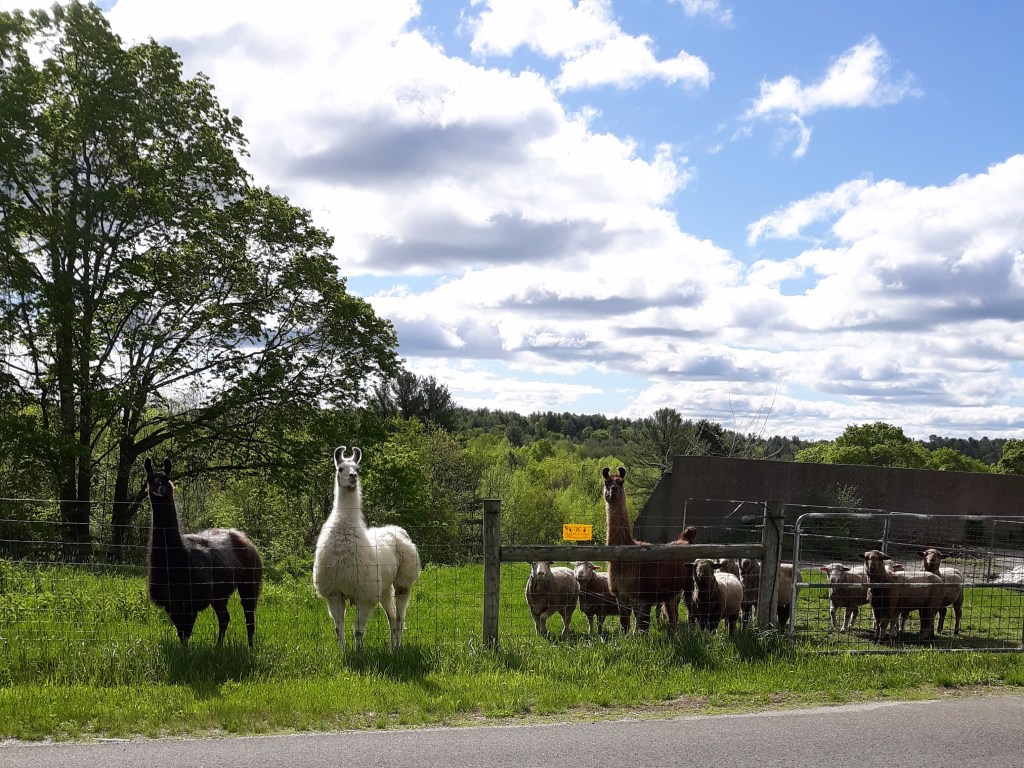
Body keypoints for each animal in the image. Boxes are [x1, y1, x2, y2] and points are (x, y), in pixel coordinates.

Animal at [143, 457, 263, 647]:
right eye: (149, 479)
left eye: (165, 477)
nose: (158, 487)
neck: (176, 558)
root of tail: (243, 537)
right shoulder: (170, 601)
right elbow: (181, 632)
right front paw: (183, 651)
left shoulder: (191, 600)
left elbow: (186, 631)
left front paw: (186, 652)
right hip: (219, 593)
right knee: (225, 618)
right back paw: (218, 647)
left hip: (250, 580)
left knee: (249, 616)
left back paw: (250, 647)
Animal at [313, 446, 421, 652]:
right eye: (340, 468)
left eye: (357, 468)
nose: (353, 477)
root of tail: (398, 530)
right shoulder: (334, 592)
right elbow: (338, 629)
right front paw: (342, 651)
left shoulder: (364, 593)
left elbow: (358, 631)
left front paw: (358, 653)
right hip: (384, 586)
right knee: (392, 617)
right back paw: (392, 648)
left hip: (403, 581)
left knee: (400, 617)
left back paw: (399, 647)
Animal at [603, 466, 698, 636]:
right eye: (606, 482)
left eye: (621, 482)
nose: (613, 490)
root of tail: (685, 540)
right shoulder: (621, 594)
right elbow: (624, 625)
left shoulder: (645, 594)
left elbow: (644, 626)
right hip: (671, 591)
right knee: (673, 615)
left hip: (688, 583)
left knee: (690, 611)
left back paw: (690, 633)